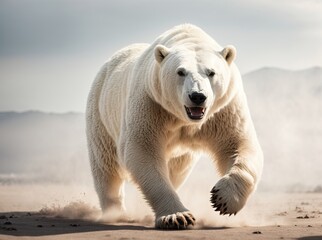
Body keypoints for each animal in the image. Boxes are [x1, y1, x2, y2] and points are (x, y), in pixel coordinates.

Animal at [85, 23, 262, 229]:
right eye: (181, 71)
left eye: (211, 72)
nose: (198, 96)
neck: (185, 120)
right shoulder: (152, 104)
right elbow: (143, 150)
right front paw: (177, 216)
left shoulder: (223, 110)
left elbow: (239, 144)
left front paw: (223, 199)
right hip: (101, 114)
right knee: (107, 169)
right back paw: (116, 213)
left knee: (176, 171)